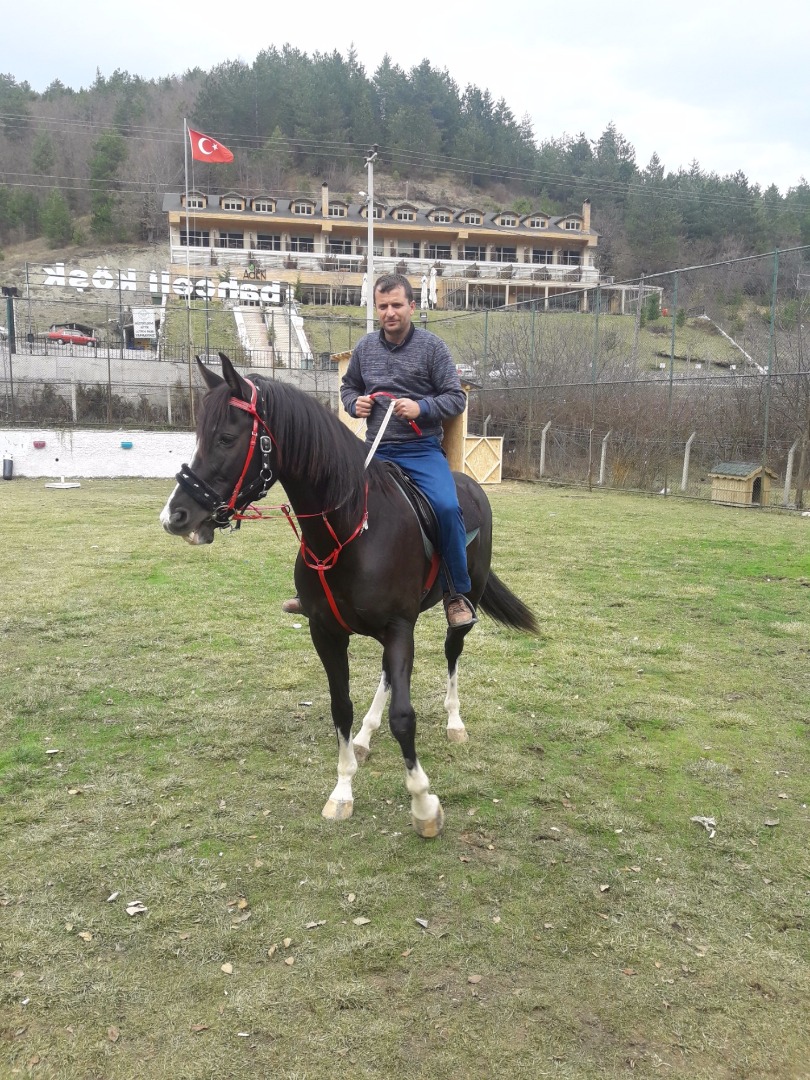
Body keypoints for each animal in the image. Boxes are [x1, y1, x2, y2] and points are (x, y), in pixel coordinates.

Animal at [160, 353, 538, 838]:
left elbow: (404, 717)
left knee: (452, 653)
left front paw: (424, 805)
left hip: (460, 607)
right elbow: (341, 707)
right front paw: (342, 790)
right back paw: (364, 737)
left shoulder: (398, 627)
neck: (349, 529)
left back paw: (454, 722)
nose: (176, 516)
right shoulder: (328, 632)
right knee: (386, 677)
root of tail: (471, 487)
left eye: (226, 438)